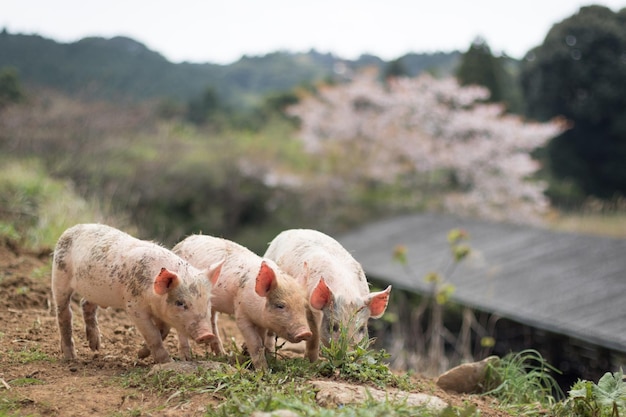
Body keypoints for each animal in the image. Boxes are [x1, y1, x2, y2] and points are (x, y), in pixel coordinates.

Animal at [51, 223, 222, 362]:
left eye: (207, 302)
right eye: (180, 303)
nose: (207, 334)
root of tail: (72, 229)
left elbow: (163, 331)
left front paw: (141, 354)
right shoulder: (134, 307)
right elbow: (153, 334)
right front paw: (167, 361)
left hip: (95, 291)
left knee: (85, 303)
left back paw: (95, 347)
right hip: (59, 275)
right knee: (64, 313)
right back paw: (71, 357)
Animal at [172, 236, 324, 368]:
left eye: (303, 307)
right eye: (280, 305)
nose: (305, 333)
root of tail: (183, 241)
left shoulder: (262, 322)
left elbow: (262, 341)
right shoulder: (241, 314)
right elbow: (255, 343)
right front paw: (263, 371)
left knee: (212, 321)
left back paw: (222, 355)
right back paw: (187, 358)